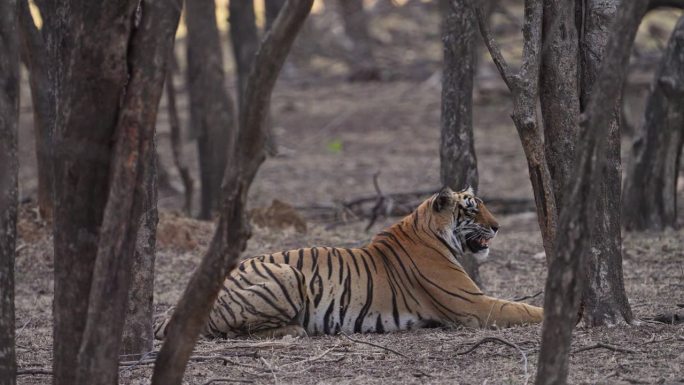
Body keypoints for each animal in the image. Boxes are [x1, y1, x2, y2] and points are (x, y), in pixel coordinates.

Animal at [154, 186, 540, 340]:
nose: (498, 226)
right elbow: (522, 309)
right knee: (231, 331)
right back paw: (296, 330)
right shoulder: (472, 305)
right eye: (472, 209)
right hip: (287, 275)